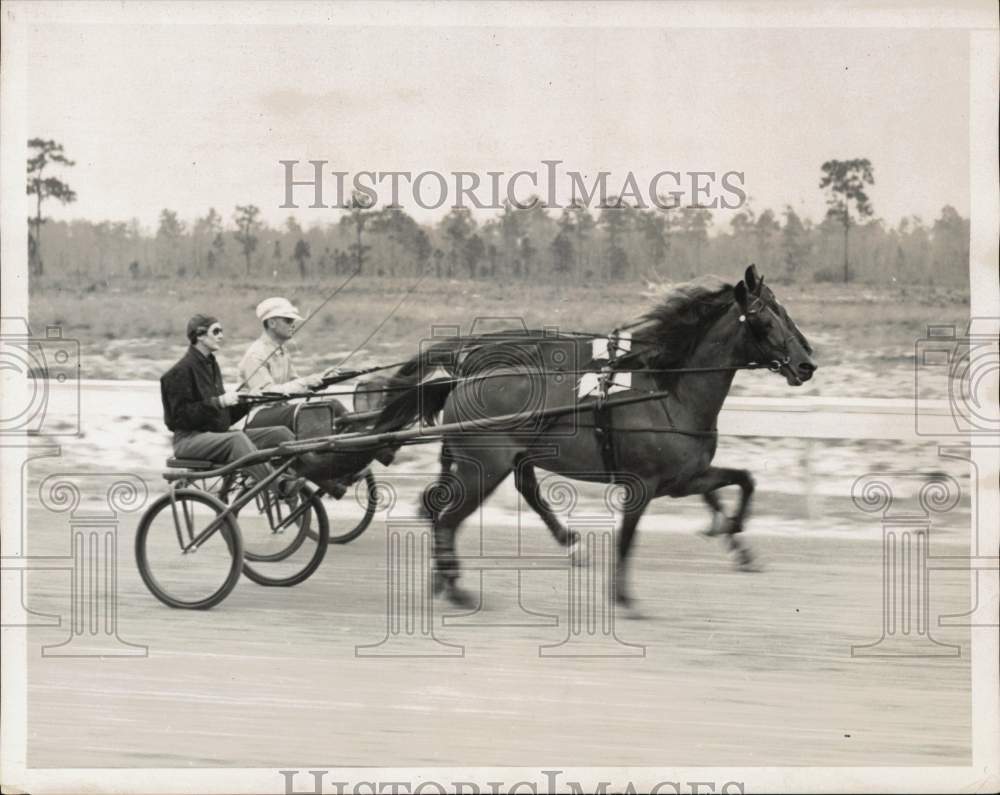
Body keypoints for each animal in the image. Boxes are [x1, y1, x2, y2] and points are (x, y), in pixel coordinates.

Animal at [372, 268, 816, 608]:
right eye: (764, 317)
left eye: (783, 309)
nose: (806, 363)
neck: (668, 392)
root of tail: (464, 374)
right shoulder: (646, 481)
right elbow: (631, 534)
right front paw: (623, 594)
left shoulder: (685, 477)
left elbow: (743, 480)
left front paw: (736, 536)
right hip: (484, 466)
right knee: (453, 513)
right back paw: (456, 582)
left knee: (455, 504)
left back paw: (448, 575)